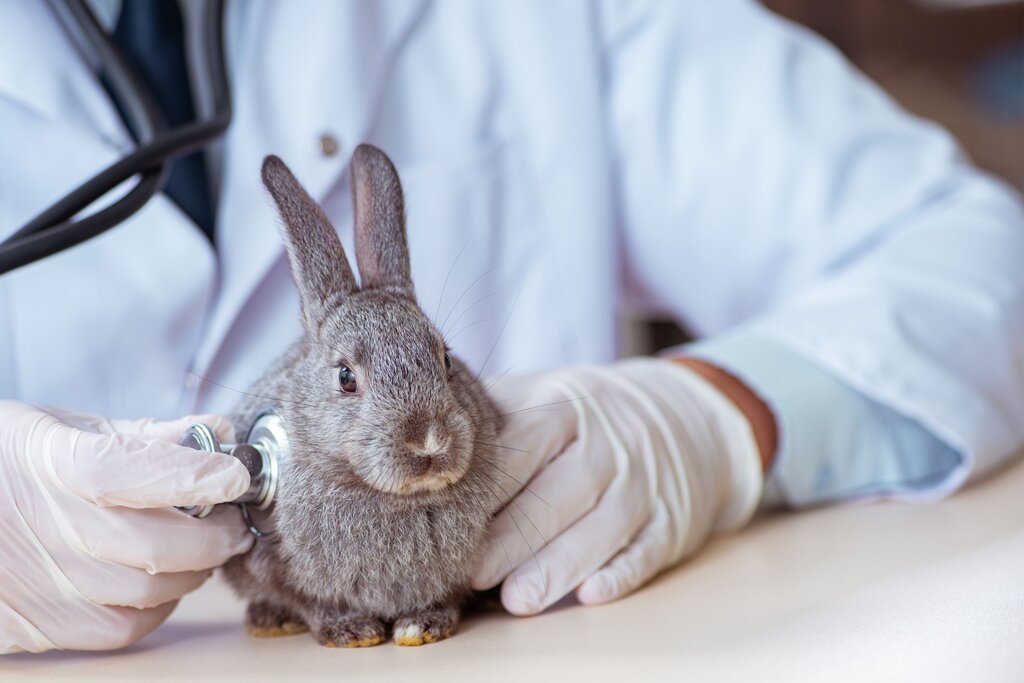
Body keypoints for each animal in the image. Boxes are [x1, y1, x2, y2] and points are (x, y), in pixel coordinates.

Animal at [221, 145, 504, 648]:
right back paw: (269, 621)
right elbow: (310, 600)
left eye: (446, 359)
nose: (428, 443)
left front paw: (423, 625)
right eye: (346, 377)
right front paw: (350, 632)